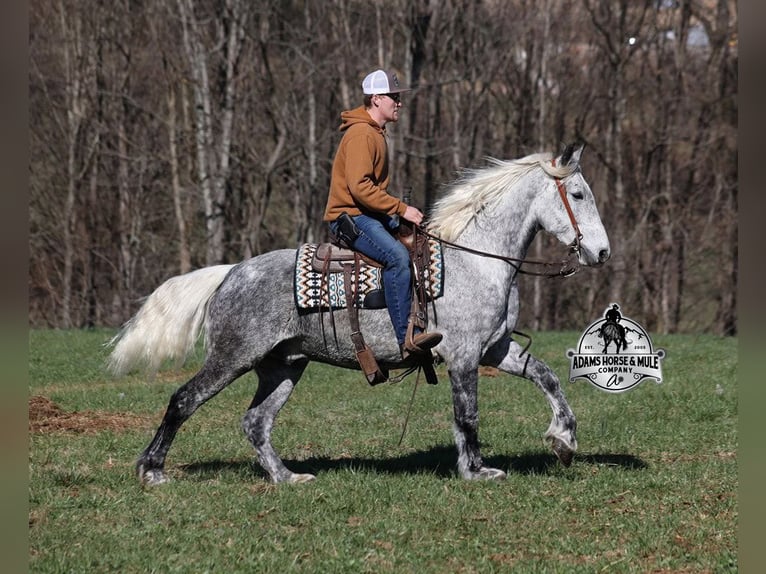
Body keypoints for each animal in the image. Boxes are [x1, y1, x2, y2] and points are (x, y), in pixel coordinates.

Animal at [108, 143, 610, 485]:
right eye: (579, 194)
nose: (602, 253)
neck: (477, 259)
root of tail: (231, 273)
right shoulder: (465, 355)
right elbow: (467, 413)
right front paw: (476, 471)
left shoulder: (496, 349)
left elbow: (548, 377)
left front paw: (563, 441)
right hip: (232, 357)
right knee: (184, 400)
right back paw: (152, 470)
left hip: (283, 365)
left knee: (256, 422)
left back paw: (287, 478)